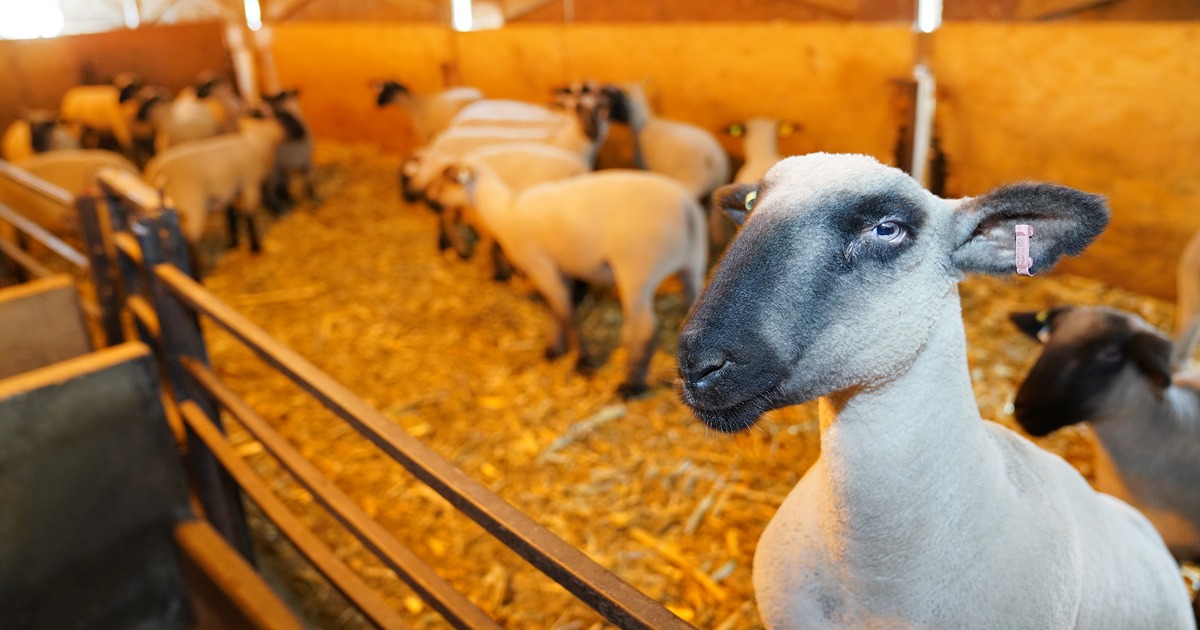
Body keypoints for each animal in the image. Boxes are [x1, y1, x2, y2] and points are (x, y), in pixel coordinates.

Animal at [143, 115, 284, 262]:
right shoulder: (250, 184)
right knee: (191, 241)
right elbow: (249, 214)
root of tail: (156, 172)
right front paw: (255, 247)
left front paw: (233, 242)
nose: (282, 130)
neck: (254, 141)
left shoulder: (230, 190)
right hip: (193, 205)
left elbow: (231, 215)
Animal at [427, 161, 707, 398]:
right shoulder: (559, 267)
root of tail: (686, 208)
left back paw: (631, 387)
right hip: (694, 264)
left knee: (644, 330)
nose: (428, 202)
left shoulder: (539, 263)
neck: (504, 212)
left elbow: (565, 310)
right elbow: (556, 307)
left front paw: (583, 361)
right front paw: (555, 349)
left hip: (636, 272)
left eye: (446, 181)